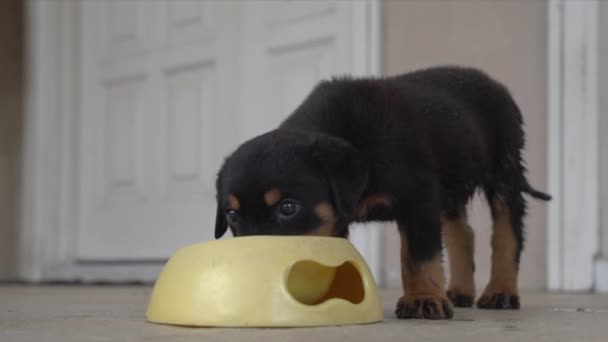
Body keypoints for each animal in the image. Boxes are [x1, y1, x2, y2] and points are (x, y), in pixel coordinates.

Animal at [214, 65, 552, 320]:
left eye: (288, 207)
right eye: (231, 214)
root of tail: (496, 84)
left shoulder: (419, 198)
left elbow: (419, 255)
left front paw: (424, 299)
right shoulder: (340, 218)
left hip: (504, 169)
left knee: (508, 231)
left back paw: (501, 291)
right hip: (451, 185)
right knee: (463, 232)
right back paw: (461, 291)